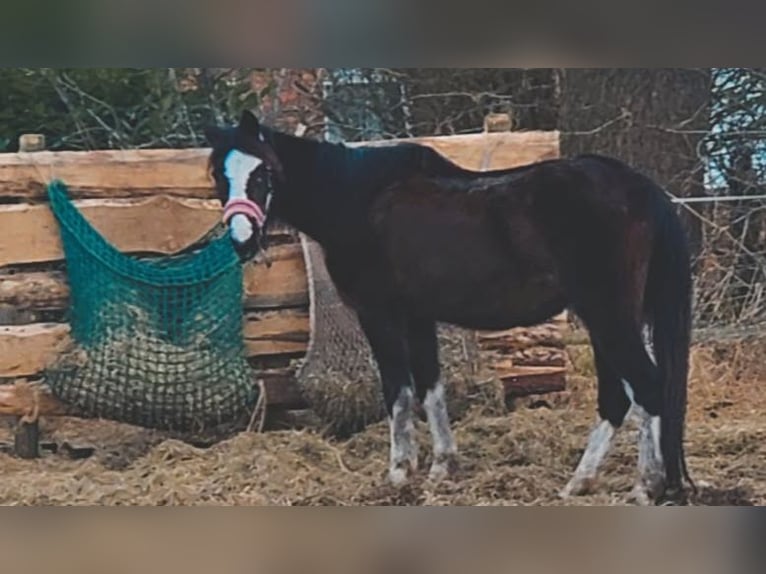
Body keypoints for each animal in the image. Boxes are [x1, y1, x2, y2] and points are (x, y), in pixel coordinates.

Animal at [204, 110, 696, 506]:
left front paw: (399, 472)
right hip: (611, 318)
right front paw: (443, 466)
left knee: (647, 387)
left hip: (608, 316)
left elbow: (398, 391)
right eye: (219, 177)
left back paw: (645, 486)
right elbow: (430, 387)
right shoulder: (419, 317)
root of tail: (641, 188)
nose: (242, 240)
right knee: (620, 395)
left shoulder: (380, 315)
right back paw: (581, 481)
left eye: (263, 172)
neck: (359, 198)